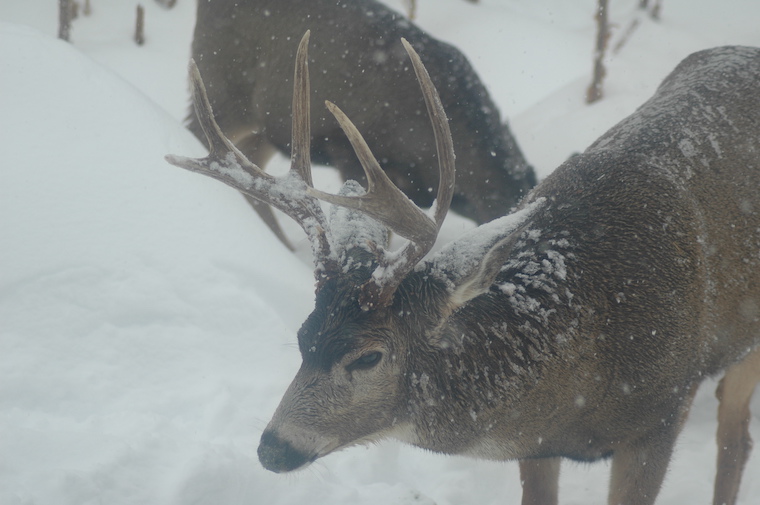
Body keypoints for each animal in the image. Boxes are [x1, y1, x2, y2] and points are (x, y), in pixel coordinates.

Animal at [167, 32, 760, 505]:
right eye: (302, 339)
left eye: (368, 356)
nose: (272, 447)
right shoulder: (538, 447)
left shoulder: (660, 415)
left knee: (735, 437)